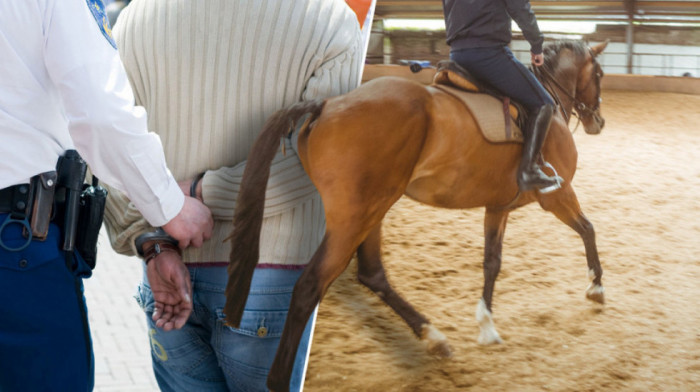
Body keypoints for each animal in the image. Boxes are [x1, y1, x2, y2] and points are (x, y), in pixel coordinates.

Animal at [224, 39, 608, 388]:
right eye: (599, 74)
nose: (599, 122)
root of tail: (328, 104)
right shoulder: (556, 195)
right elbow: (588, 229)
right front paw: (596, 287)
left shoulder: (498, 206)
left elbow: (492, 262)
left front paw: (486, 324)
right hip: (354, 219)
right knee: (309, 286)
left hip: (372, 210)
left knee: (372, 274)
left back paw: (433, 336)